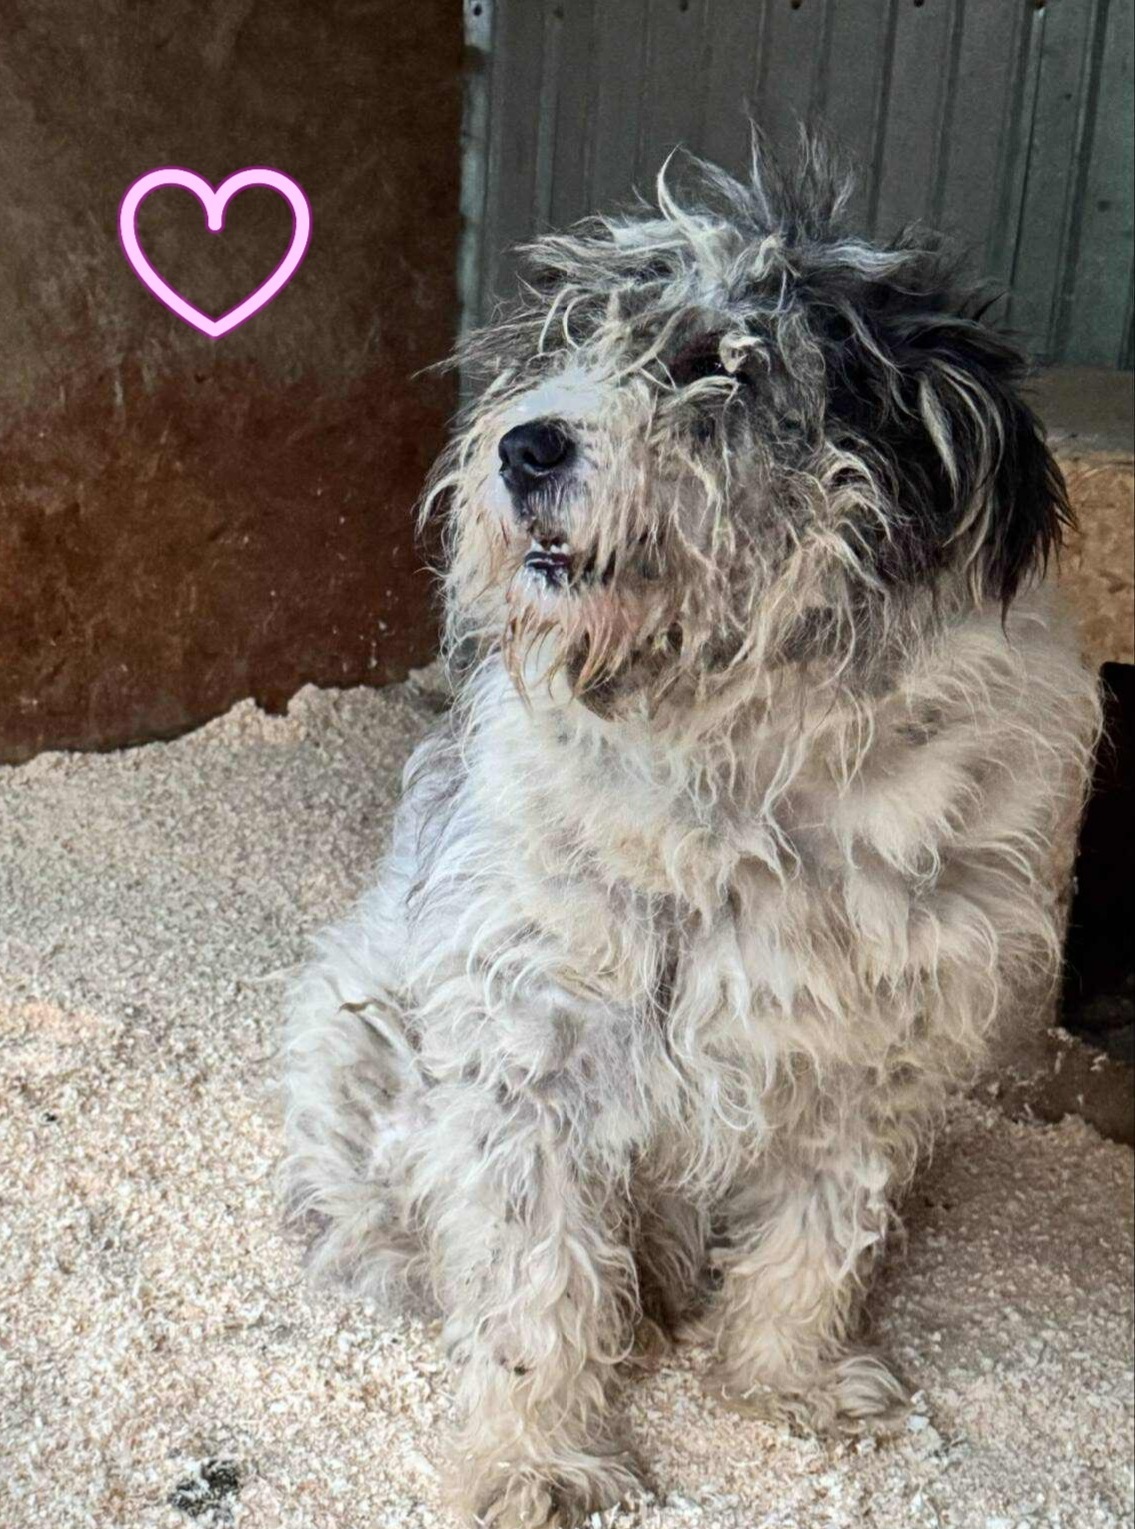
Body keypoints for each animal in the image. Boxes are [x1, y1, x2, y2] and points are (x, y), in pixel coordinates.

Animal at [283, 139, 1098, 1527]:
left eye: (725, 365)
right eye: (563, 342)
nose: (524, 445)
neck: (742, 761)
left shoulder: (869, 1057)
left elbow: (816, 1242)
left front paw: (784, 1380)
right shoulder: (531, 1058)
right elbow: (535, 1290)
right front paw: (535, 1456)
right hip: (362, 1033)